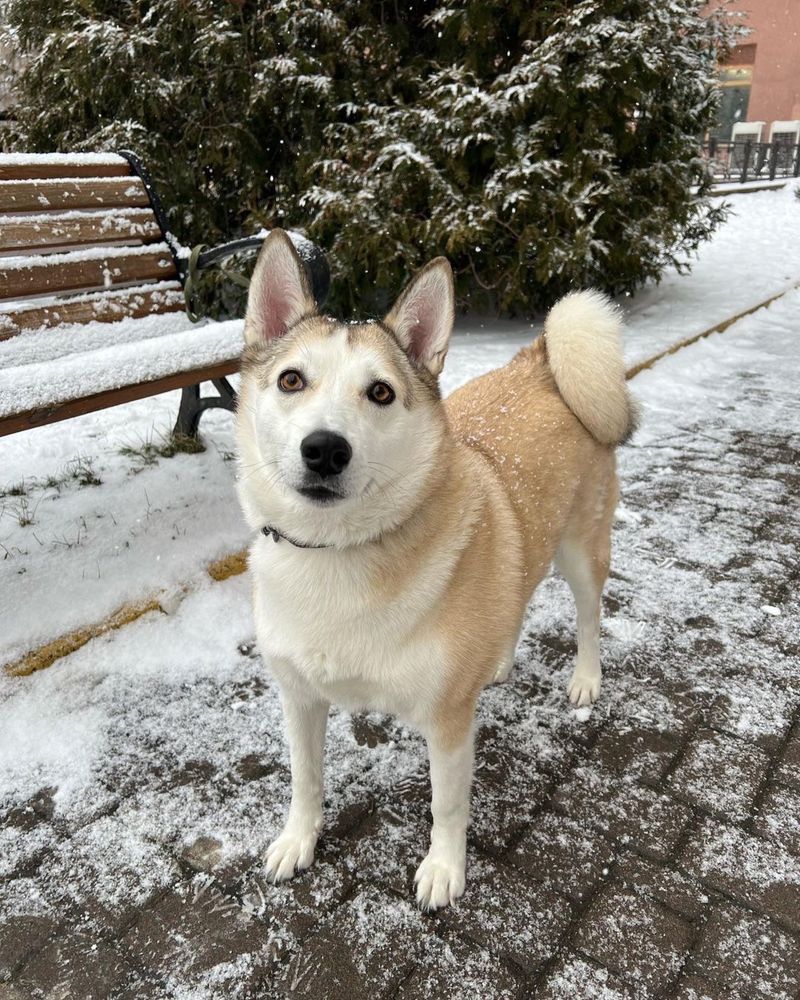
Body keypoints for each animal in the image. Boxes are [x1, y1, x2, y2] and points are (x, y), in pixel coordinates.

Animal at [233, 230, 636, 912]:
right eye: (291, 380)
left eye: (381, 392)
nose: (325, 449)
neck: (336, 555)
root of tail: (542, 361)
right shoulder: (299, 698)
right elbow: (305, 780)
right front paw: (298, 840)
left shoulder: (447, 725)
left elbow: (447, 806)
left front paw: (444, 870)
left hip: (581, 552)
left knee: (589, 616)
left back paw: (585, 679)